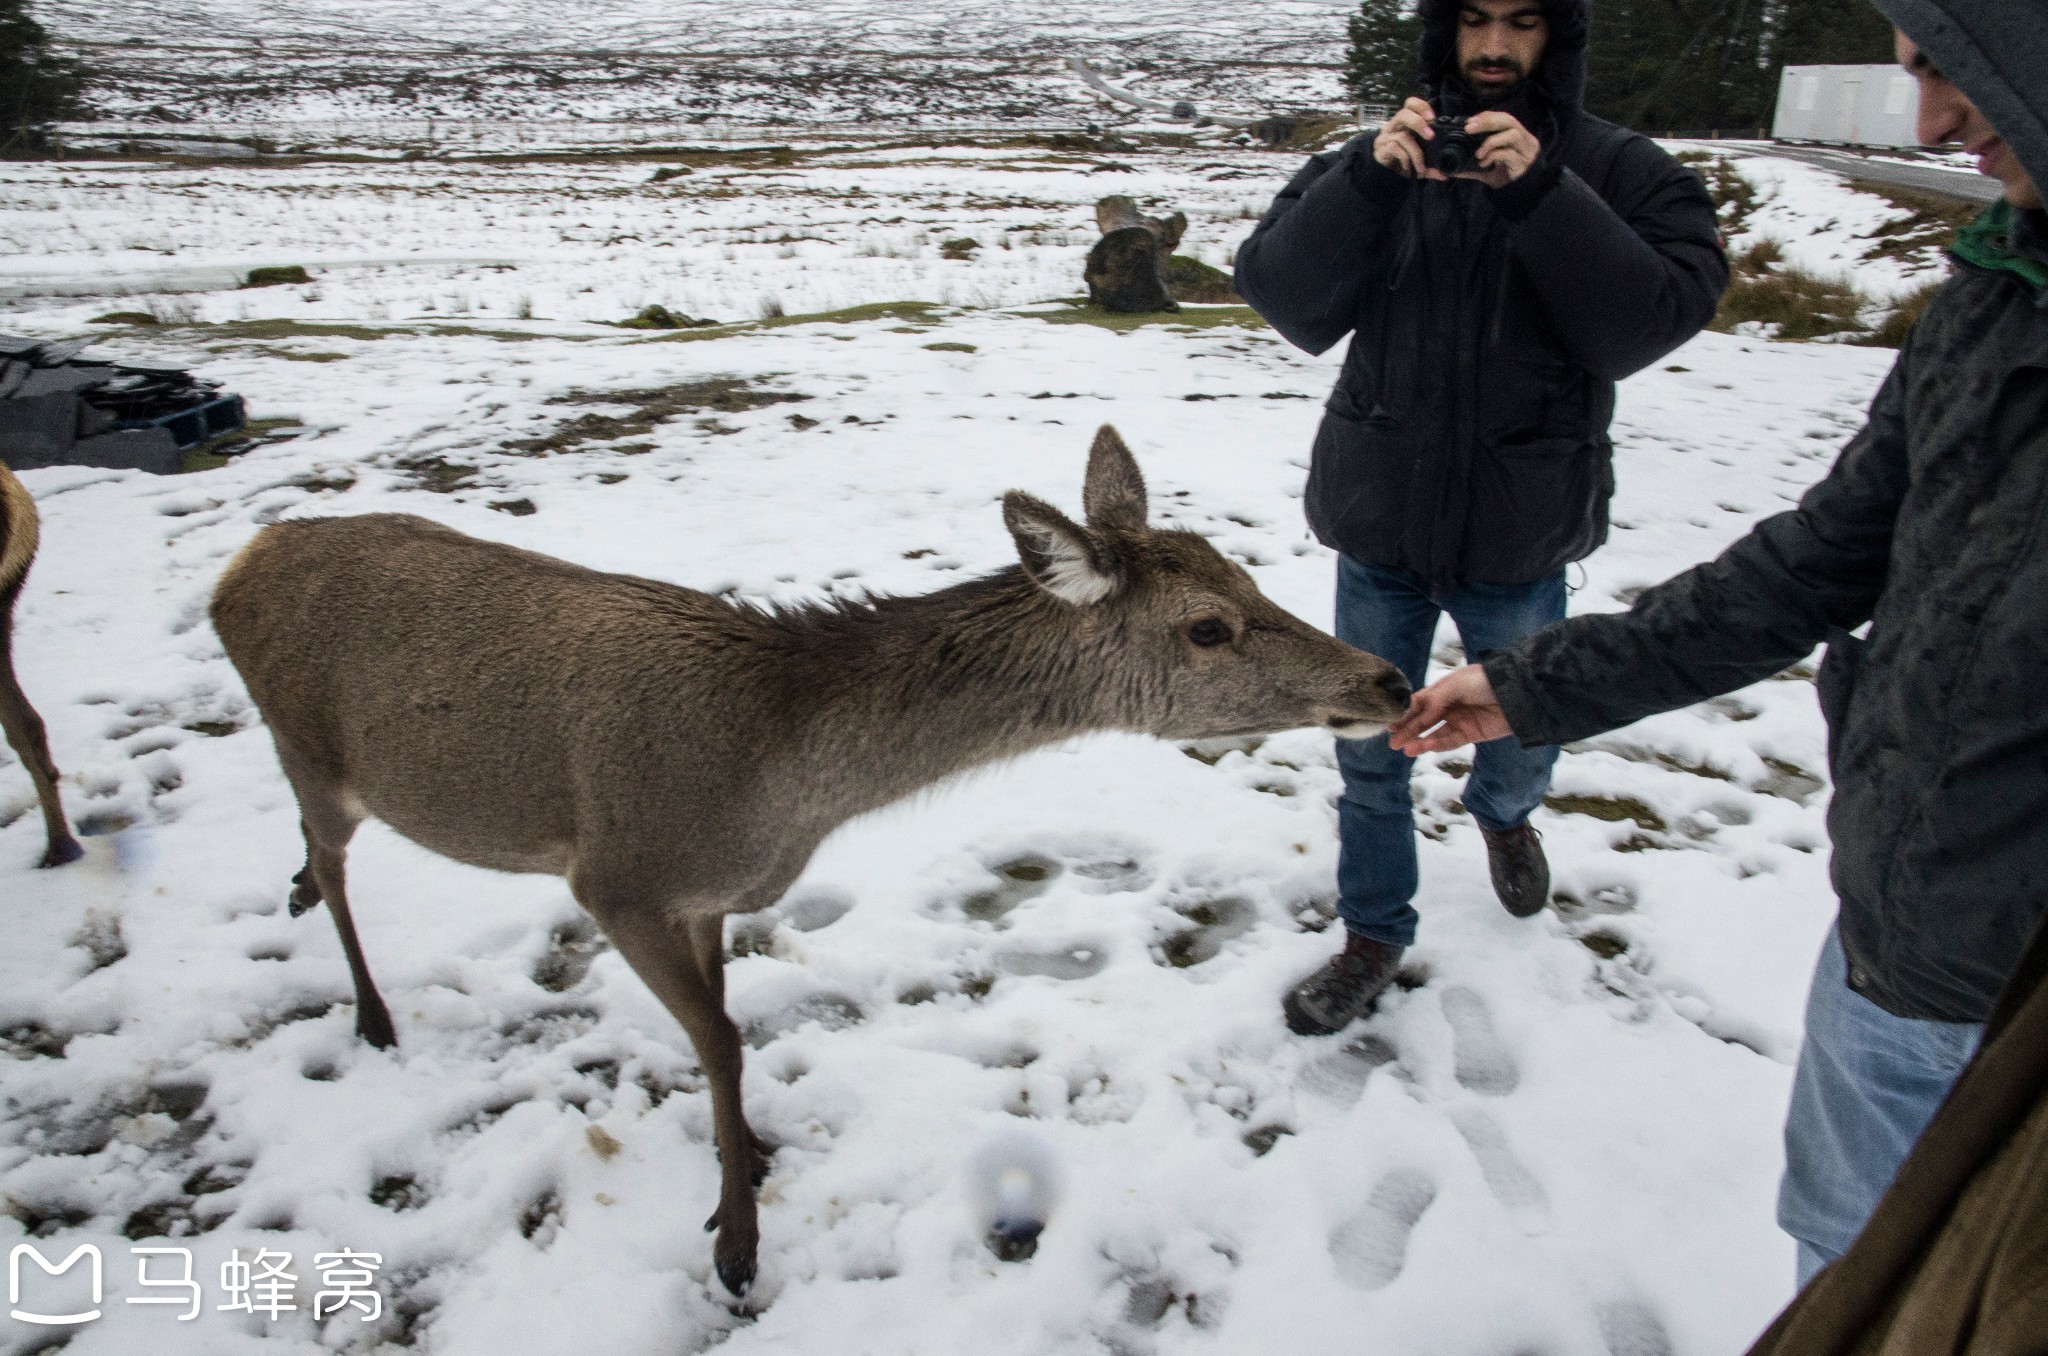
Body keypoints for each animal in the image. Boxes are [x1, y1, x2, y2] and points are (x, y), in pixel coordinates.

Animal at [216, 426, 1417, 1294]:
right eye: (1209, 626)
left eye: (1245, 576)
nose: (1391, 679)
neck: (776, 788)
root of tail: (238, 563)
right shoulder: (616, 877)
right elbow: (719, 1036)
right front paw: (736, 1244)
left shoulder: (707, 894)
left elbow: (723, 1027)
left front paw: (744, 1158)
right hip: (310, 750)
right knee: (331, 861)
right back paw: (371, 1011)